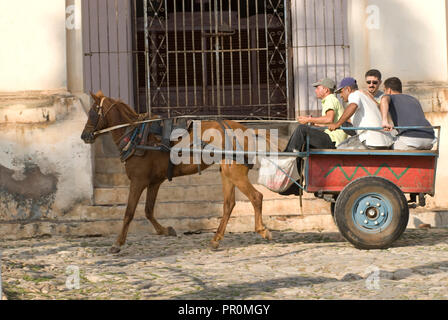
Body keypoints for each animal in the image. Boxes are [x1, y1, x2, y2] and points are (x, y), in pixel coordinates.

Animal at [81, 90, 276, 252]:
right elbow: (148, 210)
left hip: (235, 172)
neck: (137, 136)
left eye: (92, 113)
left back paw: (262, 230)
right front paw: (165, 230)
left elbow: (129, 212)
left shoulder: (138, 181)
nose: (84, 135)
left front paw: (118, 243)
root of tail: (247, 130)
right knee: (229, 204)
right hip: (227, 172)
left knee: (256, 197)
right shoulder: (154, 182)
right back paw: (216, 239)